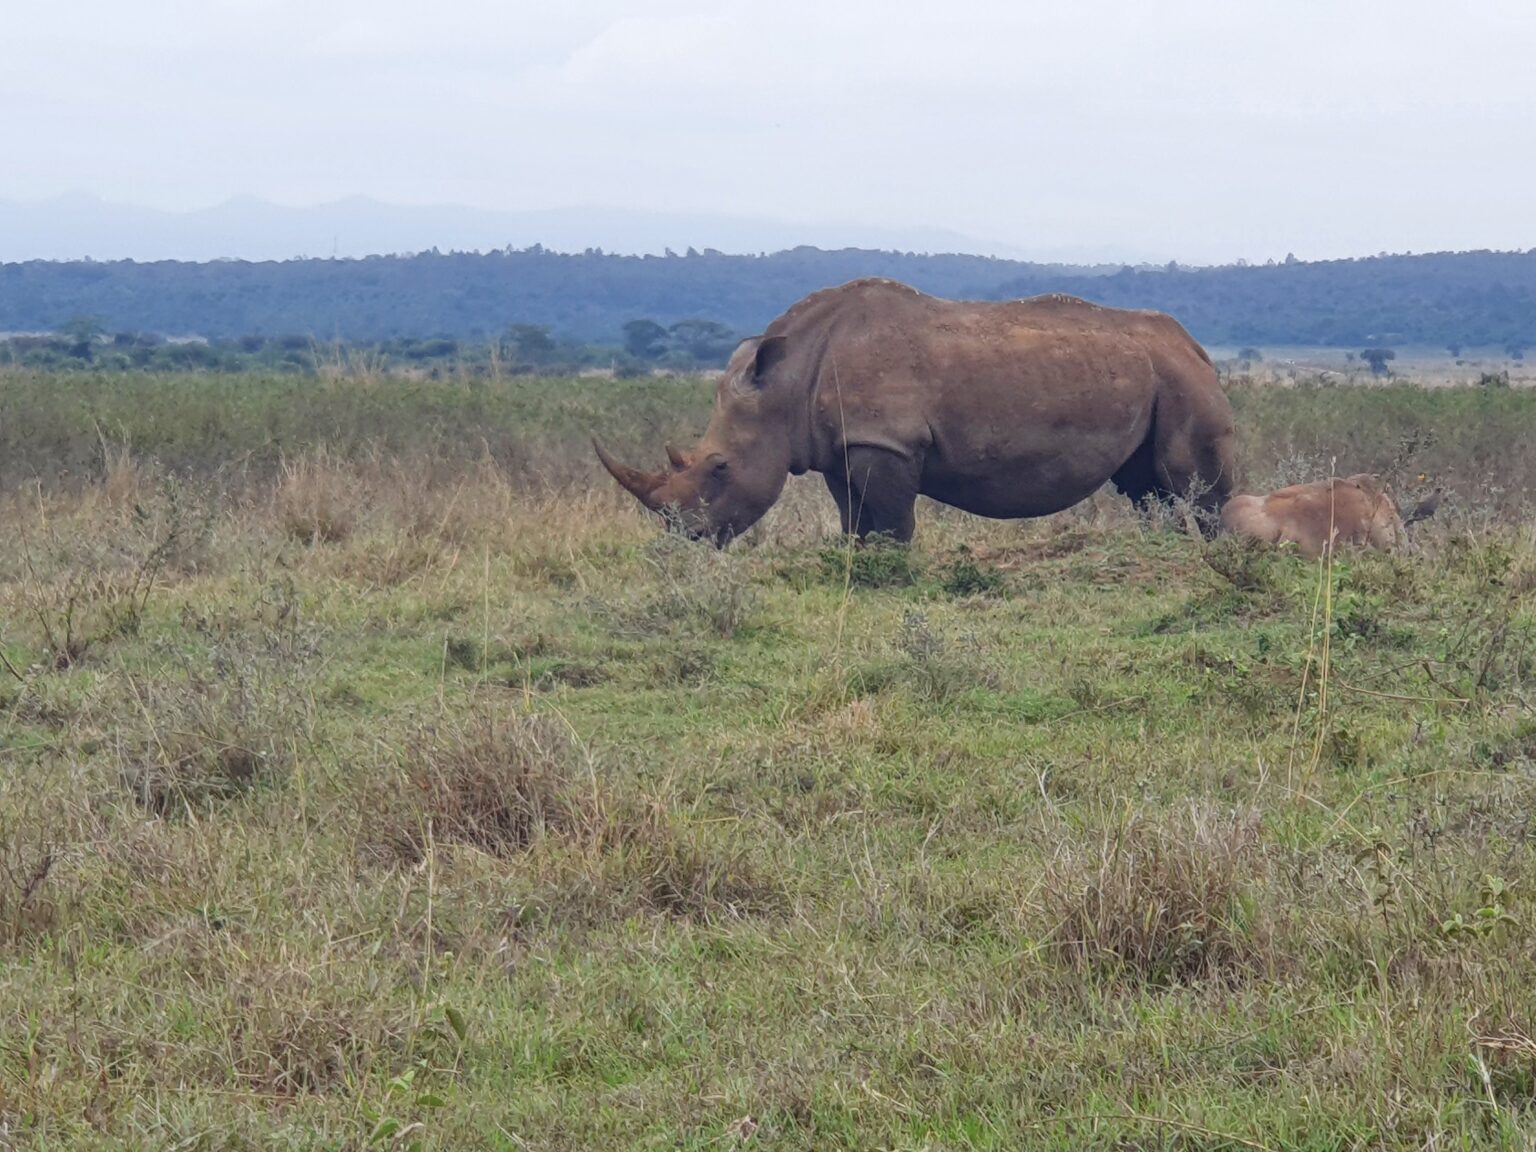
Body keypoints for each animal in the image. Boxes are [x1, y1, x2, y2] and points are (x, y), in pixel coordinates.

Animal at [595, 278, 1237, 546]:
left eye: (720, 468)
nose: (686, 540)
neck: (784, 383)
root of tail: (1195, 345)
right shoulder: (841, 445)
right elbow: (853, 517)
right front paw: (859, 561)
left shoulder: (888, 441)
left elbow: (892, 519)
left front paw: (897, 571)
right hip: (1150, 373)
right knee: (1144, 486)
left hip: (1182, 379)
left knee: (1189, 480)